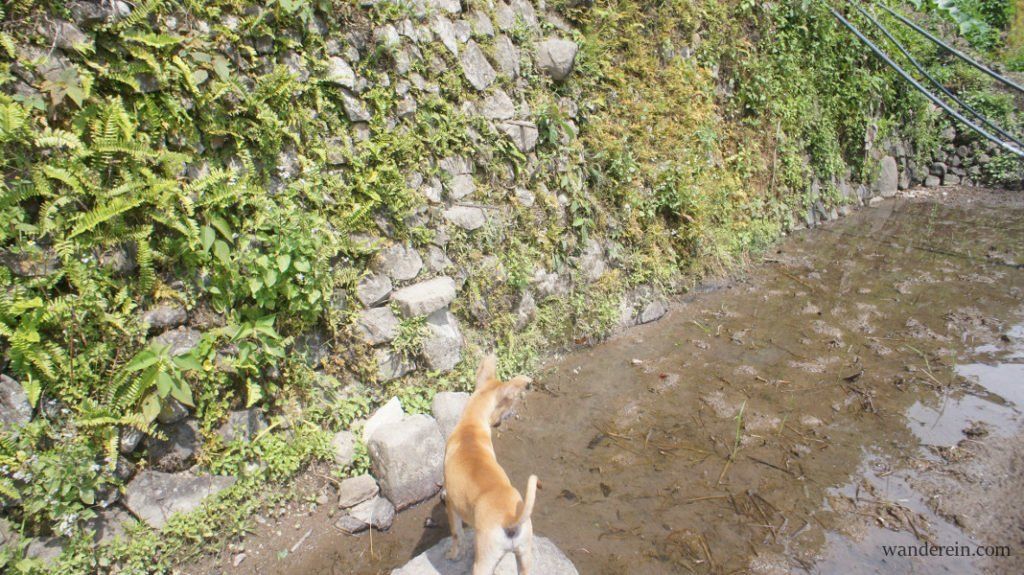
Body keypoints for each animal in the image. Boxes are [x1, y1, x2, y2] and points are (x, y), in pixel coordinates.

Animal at [444, 354, 540, 572]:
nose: (501, 420)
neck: (471, 424)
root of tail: (510, 519)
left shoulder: (451, 504)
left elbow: (456, 535)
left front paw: (453, 555)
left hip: (483, 562)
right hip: (525, 556)